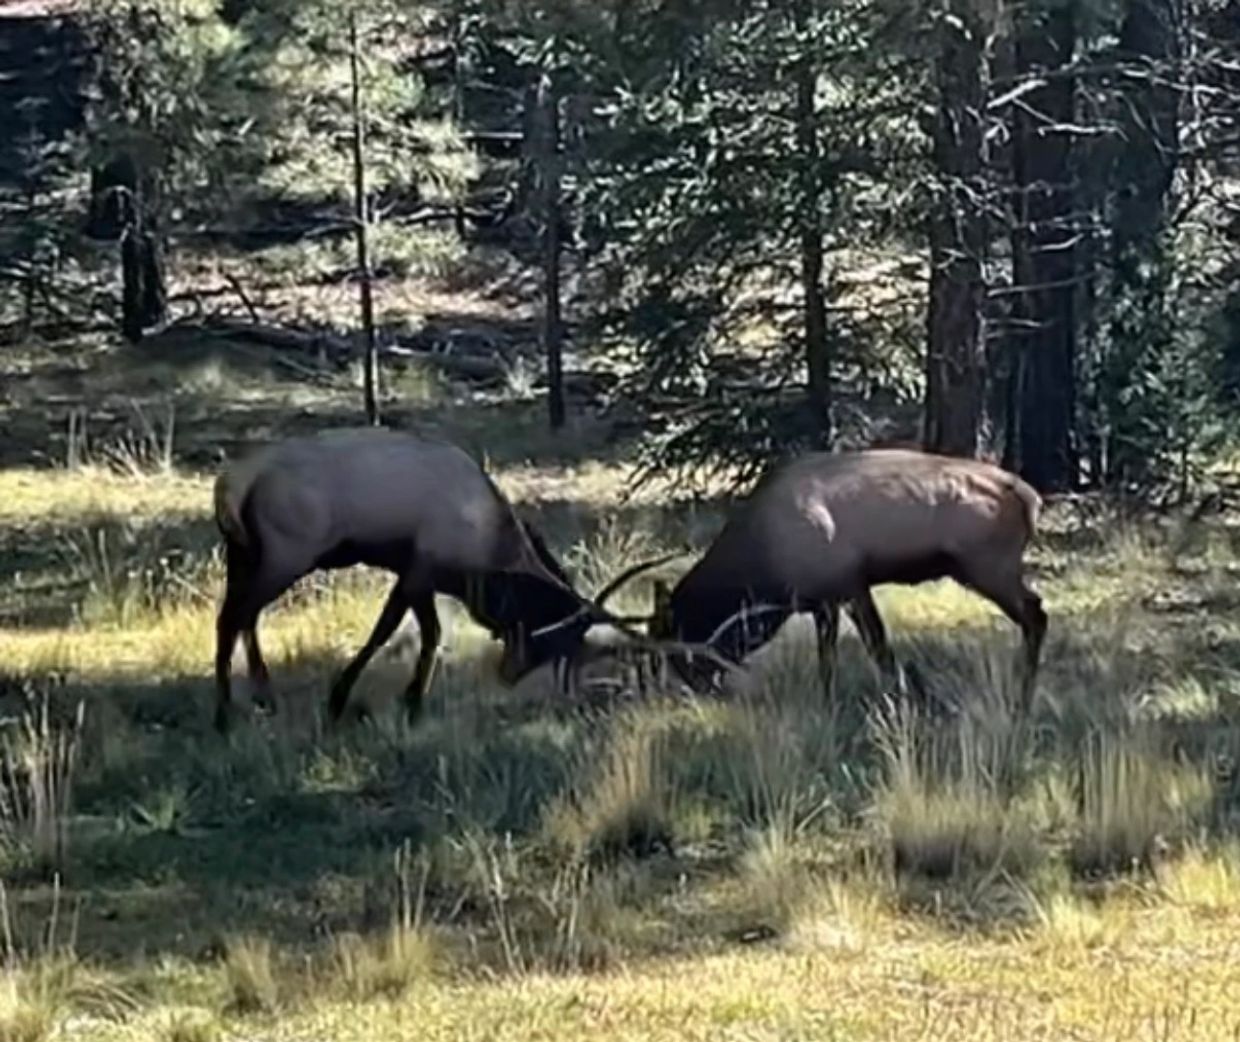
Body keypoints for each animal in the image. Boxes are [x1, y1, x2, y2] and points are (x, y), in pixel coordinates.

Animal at [211, 427, 674, 733]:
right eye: (549, 633)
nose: (510, 673)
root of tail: (229, 485)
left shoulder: (414, 573)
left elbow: (424, 632)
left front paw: (410, 702)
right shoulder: (419, 568)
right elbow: (392, 632)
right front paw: (346, 700)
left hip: (244, 557)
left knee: (239, 616)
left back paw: (260, 698)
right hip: (287, 554)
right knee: (234, 618)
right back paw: (226, 713)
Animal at [625, 448, 1047, 713]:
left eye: (679, 647)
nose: (699, 692)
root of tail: (1032, 498)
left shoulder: (846, 584)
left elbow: (872, 649)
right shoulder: (823, 600)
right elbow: (836, 656)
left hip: (988, 565)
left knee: (1036, 613)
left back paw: (1023, 699)